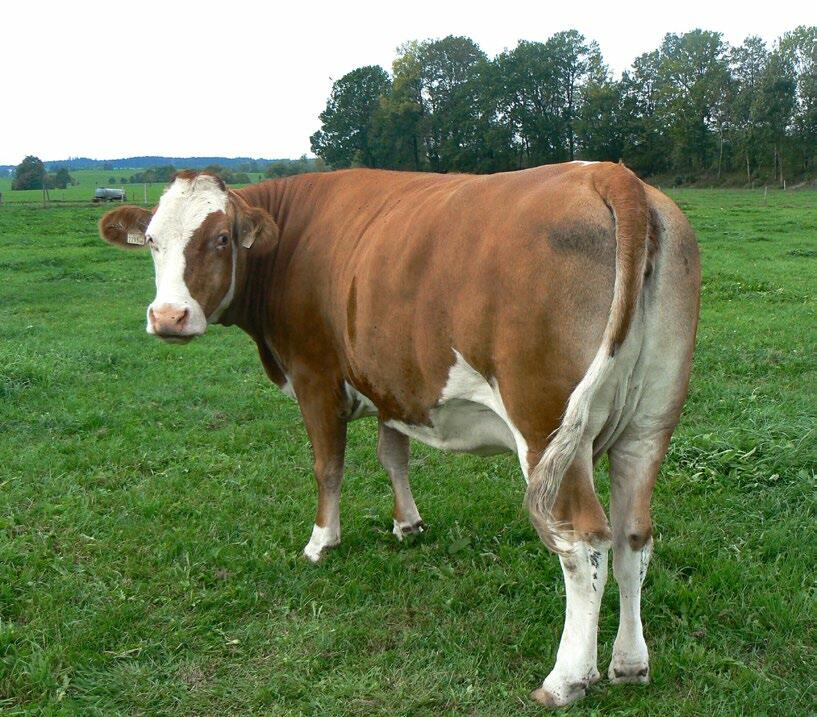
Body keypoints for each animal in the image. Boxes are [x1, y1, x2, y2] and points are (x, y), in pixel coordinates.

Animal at [98, 162, 700, 708]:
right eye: (151, 241)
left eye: (220, 238)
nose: (168, 317)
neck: (291, 239)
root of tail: (610, 174)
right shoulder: (390, 383)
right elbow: (394, 456)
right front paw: (407, 524)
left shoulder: (314, 375)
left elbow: (328, 465)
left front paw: (321, 542)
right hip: (649, 424)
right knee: (632, 538)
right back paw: (629, 663)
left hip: (547, 426)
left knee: (584, 541)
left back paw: (566, 679)